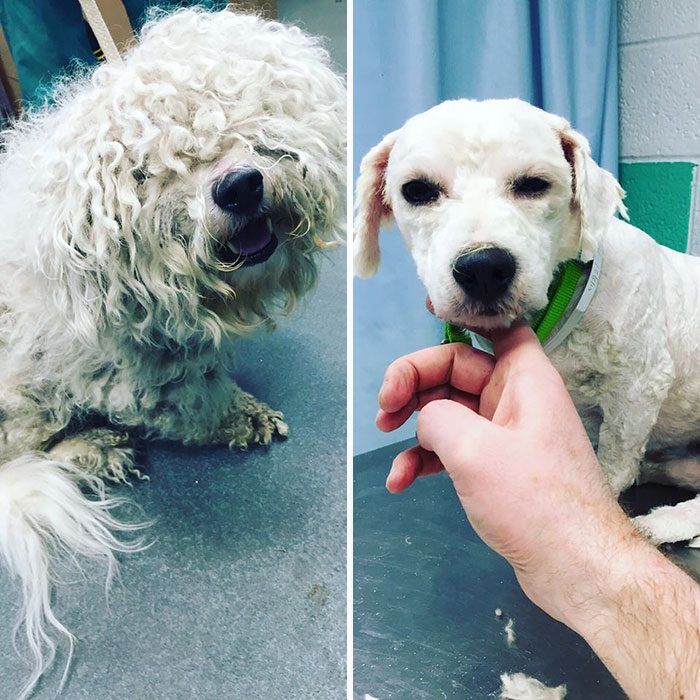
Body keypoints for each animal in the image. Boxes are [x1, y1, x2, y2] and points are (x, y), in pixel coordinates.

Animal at [0, 5, 344, 696]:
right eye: (148, 171)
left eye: (242, 116)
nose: (239, 187)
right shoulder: (131, 373)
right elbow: (195, 401)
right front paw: (242, 417)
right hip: (22, 399)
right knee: (21, 458)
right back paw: (93, 449)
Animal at [356, 98, 700, 548]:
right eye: (417, 190)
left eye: (534, 184)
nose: (483, 267)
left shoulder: (641, 384)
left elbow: (613, 462)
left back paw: (668, 520)